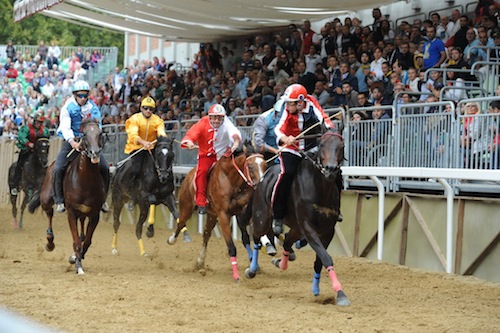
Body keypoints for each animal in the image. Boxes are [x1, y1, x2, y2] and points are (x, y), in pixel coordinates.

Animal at [32, 118, 107, 274]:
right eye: (84, 134)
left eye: (100, 133)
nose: (95, 152)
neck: (86, 181)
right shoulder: (71, 213)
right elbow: (76, 241)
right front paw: (78, 266)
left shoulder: (94, 215)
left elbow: (87, 241)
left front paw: (75, 258)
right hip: (46, 198)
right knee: (49, 213)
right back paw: (50, 242)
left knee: (82, 230)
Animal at [167, 147, 268, 280]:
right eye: (250, 166)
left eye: (265, 165)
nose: (261, 184)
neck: (231, 180)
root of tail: (189, 175)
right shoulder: (223, 215)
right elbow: (231, 247)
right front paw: (236, 276)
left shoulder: (243, 212)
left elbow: (248, 237)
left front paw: (254, 265)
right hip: (187, 207)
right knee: (180, 223)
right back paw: (171, 240)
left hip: (212, 215)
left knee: (206, 234)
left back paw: (200, 261)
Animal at [245, 128, 348, 304]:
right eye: (321, 144)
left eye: (341, 146)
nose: (330, 169)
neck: (320, 188)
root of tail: (264, 176)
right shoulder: (308, 227)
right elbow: (326, 257)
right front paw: (341, 294)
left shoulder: (328, 230)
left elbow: (320, 260)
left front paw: (317, 289)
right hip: (262, 218)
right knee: (256, 235)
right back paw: (252, 269)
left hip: (296, 227)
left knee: (287, 241)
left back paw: (280, 262)